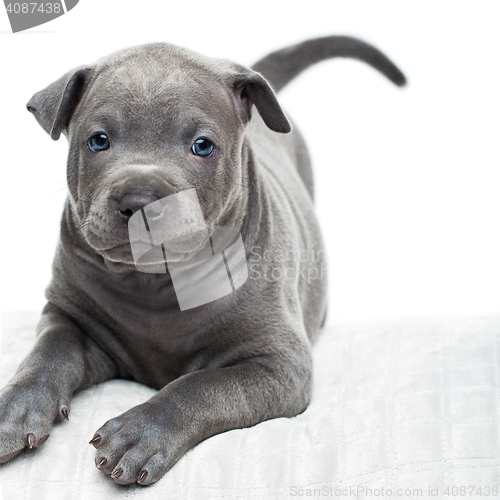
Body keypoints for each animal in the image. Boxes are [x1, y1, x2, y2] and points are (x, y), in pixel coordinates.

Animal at [0, 38, 406, 484]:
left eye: (202, 146)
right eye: (99, 140)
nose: (140, 201)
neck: (153, 283)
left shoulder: (279, 364)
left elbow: (200, 386)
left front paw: (141, 433)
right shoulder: (69, 315)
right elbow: (46, 356)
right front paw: (14, 409)